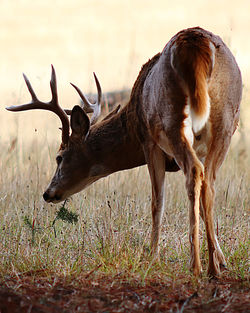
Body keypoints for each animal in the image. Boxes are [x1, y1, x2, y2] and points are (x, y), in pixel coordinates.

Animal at [6, 26, 242, 276]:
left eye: (59, 157)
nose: (47, 193)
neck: (131, 120)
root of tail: (197, 44)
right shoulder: (199, 147)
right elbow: (202, 202)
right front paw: (221, 258)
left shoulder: (149, 142)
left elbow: (157, 202)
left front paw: (152, 258)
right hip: (226, 120)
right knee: (209, 184)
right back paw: (212, 268)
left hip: (171, 119)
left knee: (194, 172)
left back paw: (196, 266)